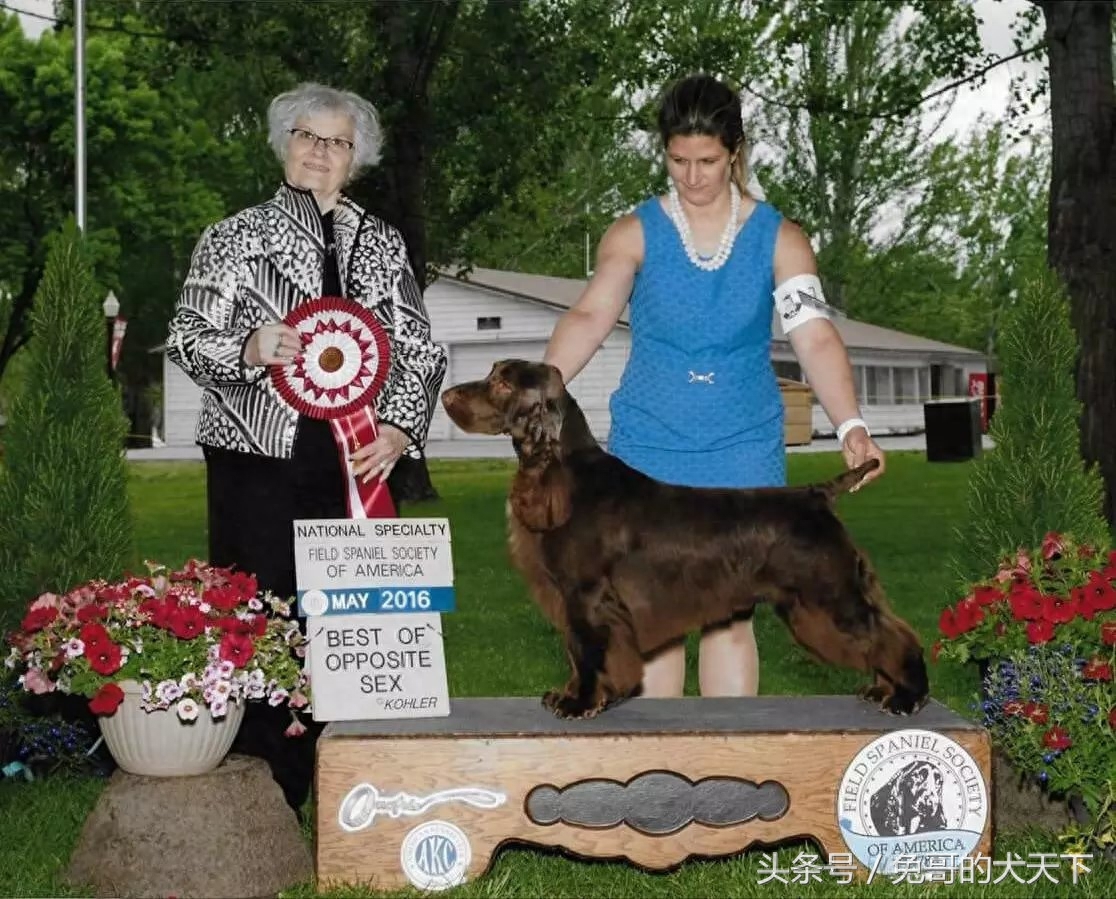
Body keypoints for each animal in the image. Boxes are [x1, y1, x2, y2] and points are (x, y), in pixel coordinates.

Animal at [439, 363, 928, 722]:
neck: (563, 475)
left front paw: (578, 702)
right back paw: (882, 690)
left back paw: (905, 696)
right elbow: (581, 653)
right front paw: (577, 696)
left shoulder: (586, 596)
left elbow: (586, 651)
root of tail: (817, 494)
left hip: (829, 595)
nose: (446, 396)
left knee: (891, 636)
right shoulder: (577, 601)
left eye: (502, 381)